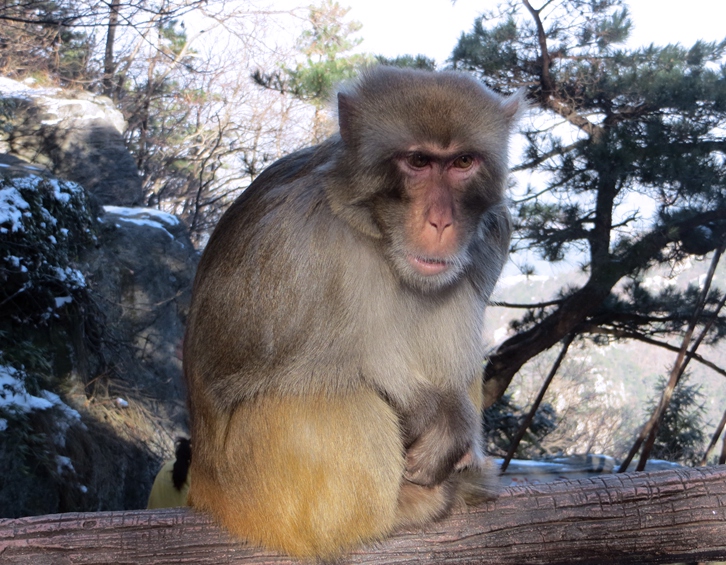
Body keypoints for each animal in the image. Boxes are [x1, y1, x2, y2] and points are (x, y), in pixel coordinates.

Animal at [185, 67, 520, 560]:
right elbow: (281, 371)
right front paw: (436, 413)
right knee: (324, 401)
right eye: (418, 162)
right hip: (247, 492)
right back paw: (407, 506)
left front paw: (457, 424)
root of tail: (200, 486)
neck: (372, 230)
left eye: (463, 162)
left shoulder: (493, 234)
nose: (441, 221)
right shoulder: (295, 245)